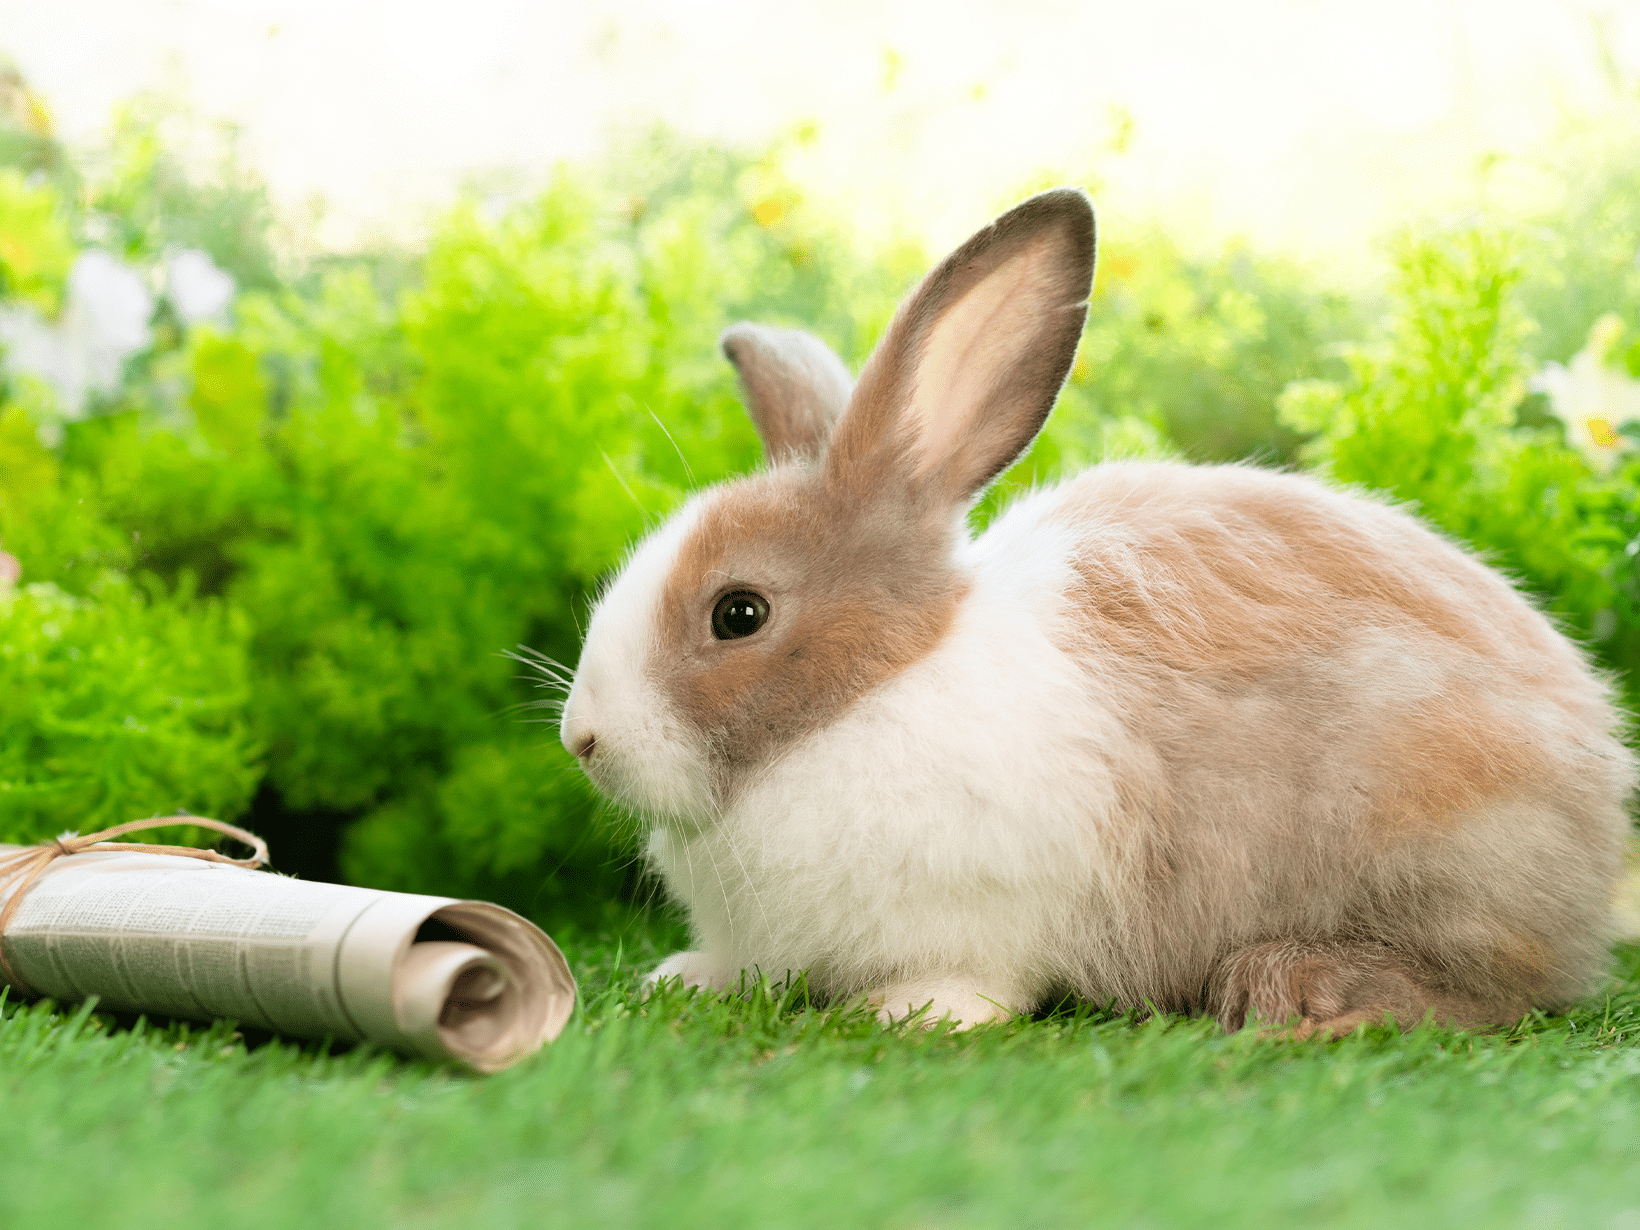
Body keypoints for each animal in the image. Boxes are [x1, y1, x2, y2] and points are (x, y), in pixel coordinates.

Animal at [557, 190, 1633, 1043]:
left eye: (739, 613)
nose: (582, 740)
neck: (875, 691)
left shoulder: (982, 915)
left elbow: (968, 982)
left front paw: (905, 1014)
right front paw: (679, 980)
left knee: (1490, 997)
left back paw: (1299, 997)